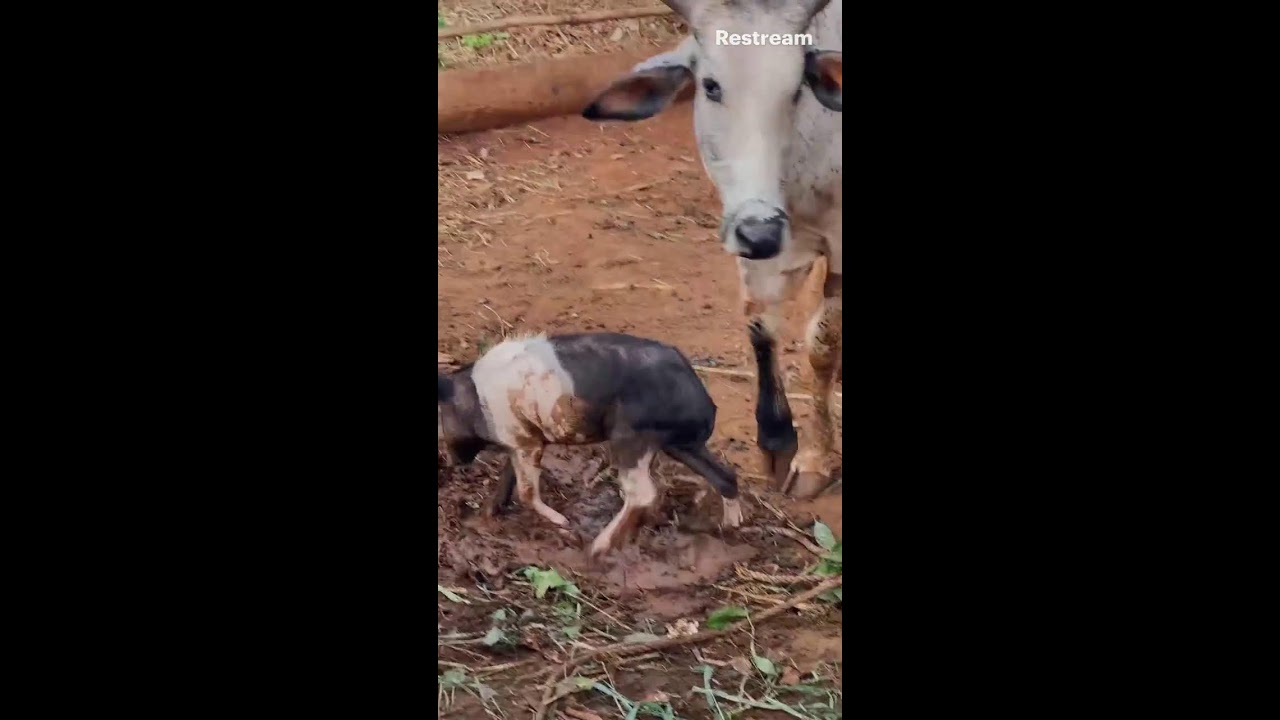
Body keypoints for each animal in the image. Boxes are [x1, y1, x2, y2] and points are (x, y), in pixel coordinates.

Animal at [582, 0, 843, 499]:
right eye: (711, 85)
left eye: (796, 89)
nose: (760, 233)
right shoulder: (766, 242)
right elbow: (760, 325)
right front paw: (777, 439)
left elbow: (822, 344)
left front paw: (818, 458)